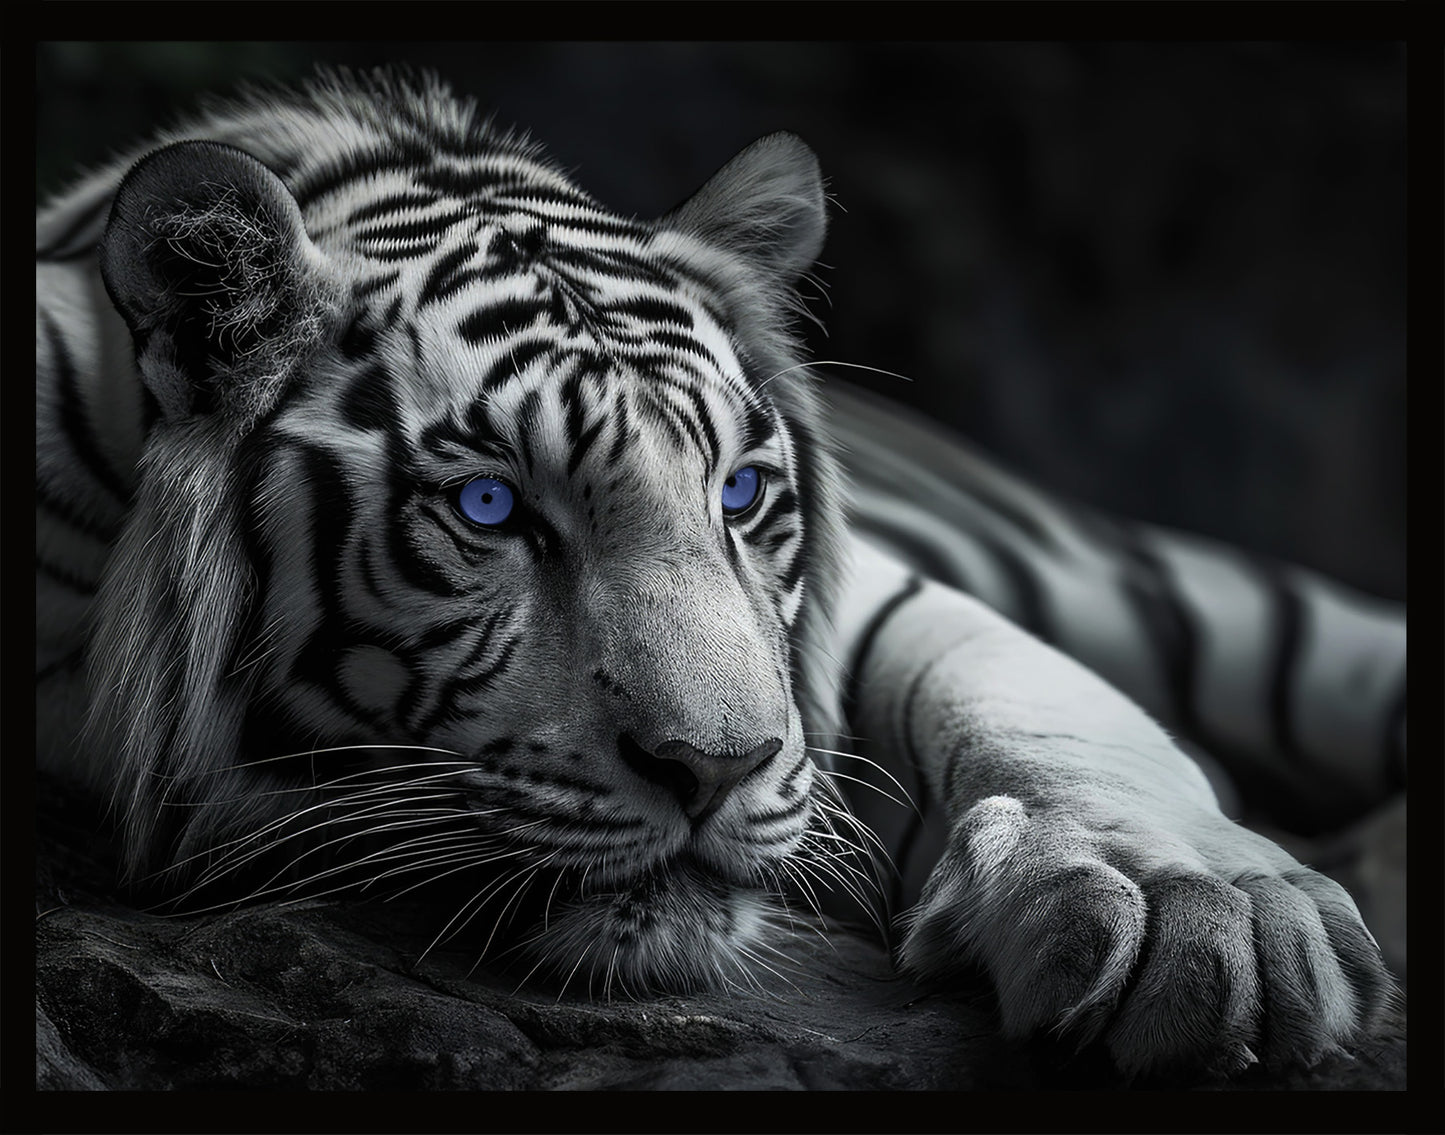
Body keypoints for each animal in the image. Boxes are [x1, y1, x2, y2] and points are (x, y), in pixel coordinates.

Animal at [35, 67, 1404, 1083]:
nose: (715, 769)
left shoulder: (881, 608)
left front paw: (1203, 916)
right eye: (490, 507)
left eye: (737, 495)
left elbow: (1044, 704)